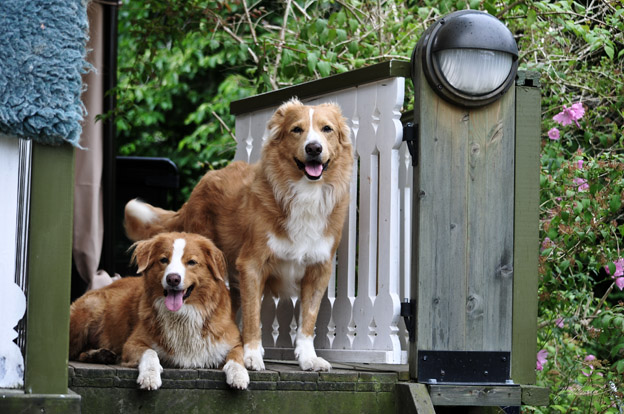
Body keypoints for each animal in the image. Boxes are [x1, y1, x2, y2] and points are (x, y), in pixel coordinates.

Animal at [124, 100, 354, 372]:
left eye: (327, 129)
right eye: (297, 129)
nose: (314, 148)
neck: (305, 193)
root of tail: (200, 185)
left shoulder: (319, 268)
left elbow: (309, 317)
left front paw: (308, 357)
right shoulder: (252, 264)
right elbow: (253, 315)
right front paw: (251, 355)